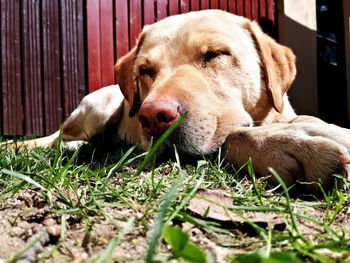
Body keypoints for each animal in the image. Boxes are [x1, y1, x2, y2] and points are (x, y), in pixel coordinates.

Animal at [2, 10, 350, 192]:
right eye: (145, 71)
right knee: (58, 139)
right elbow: (234, 136)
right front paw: (293, 142)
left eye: (215, 54)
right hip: (99, 106)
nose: (153, 117)